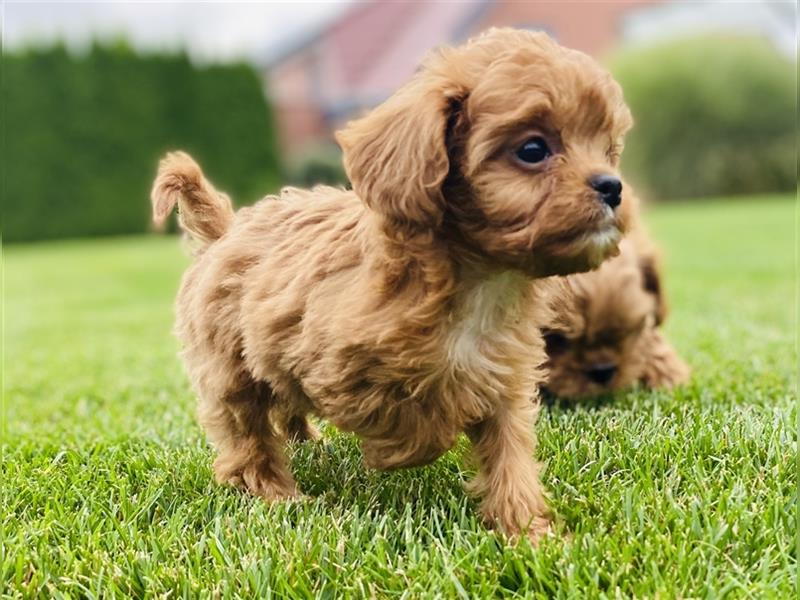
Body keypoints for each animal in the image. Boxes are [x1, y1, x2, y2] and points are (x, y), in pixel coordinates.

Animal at [153, 29, 636, 544]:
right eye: (532, 150)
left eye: (608, 150)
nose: (613, 186)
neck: (481, 279)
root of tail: (225, 232)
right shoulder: (337, 368)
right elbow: (418, 426)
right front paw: (398, 454)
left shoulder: (504, 376)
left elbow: (509, 455)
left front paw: (528, 531)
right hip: (231, 368)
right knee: (248, 435)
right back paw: (275, 492)